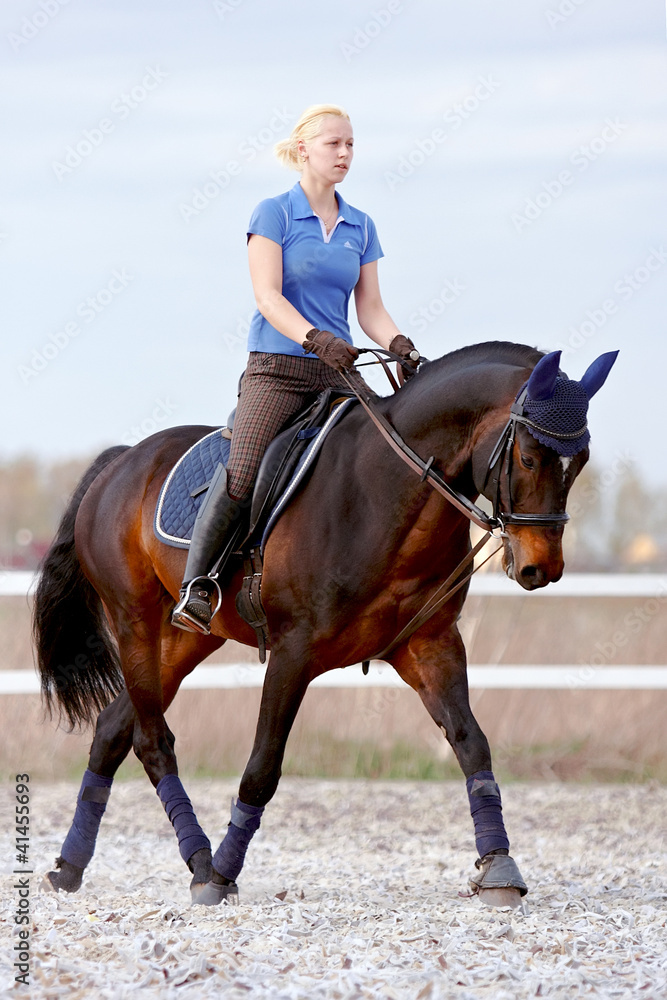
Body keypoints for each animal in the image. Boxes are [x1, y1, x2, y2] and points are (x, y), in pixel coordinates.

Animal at [33, 341, 617, 908]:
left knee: (113, 727)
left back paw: (71, 866)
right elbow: (263, 767)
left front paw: (499, 867)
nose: (541, 569)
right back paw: (198, 861)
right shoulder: (293, 653)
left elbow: (472, 743)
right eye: (528, 457)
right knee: (152, 739)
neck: (387, 494)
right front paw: (221, 876)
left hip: (187, 639)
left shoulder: (431, 645)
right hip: (134, 619)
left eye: (581, 461)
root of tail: (122, 461)